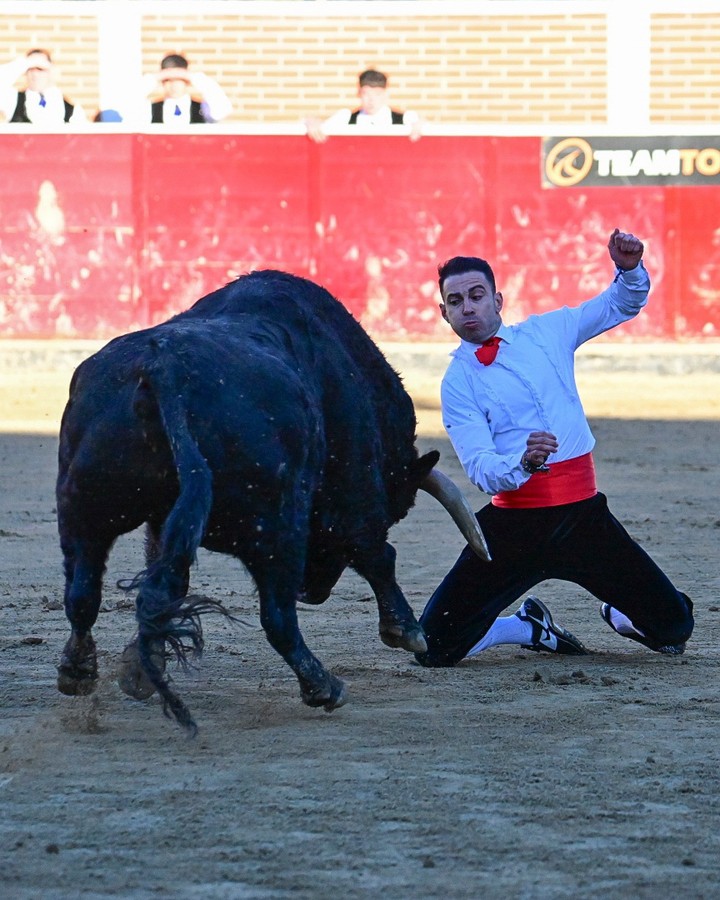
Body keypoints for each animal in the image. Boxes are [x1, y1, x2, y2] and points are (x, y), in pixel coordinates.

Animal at [56, 270, 489, 733]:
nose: (312, 591)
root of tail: (163, 368)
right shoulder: (355, 497)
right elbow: (376, 554)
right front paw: (406, 630)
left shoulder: (162, 523)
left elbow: (167, 583)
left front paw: (139, 666)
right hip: (274, 528)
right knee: (278, 616)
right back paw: (322, 686)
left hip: (85, 507)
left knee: (85, 594)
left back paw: (78, 671)